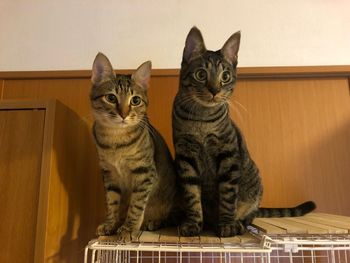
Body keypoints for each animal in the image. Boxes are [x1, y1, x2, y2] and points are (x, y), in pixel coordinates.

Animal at [91, 52, 176, 242]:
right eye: (111, 98)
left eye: (135, 100)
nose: (123, 114)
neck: (115, 141)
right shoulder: (109, 174)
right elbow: (112, 202)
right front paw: (111, 224)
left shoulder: (144, 173)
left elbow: (136, 205)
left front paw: (129, 229)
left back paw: (152, 222)